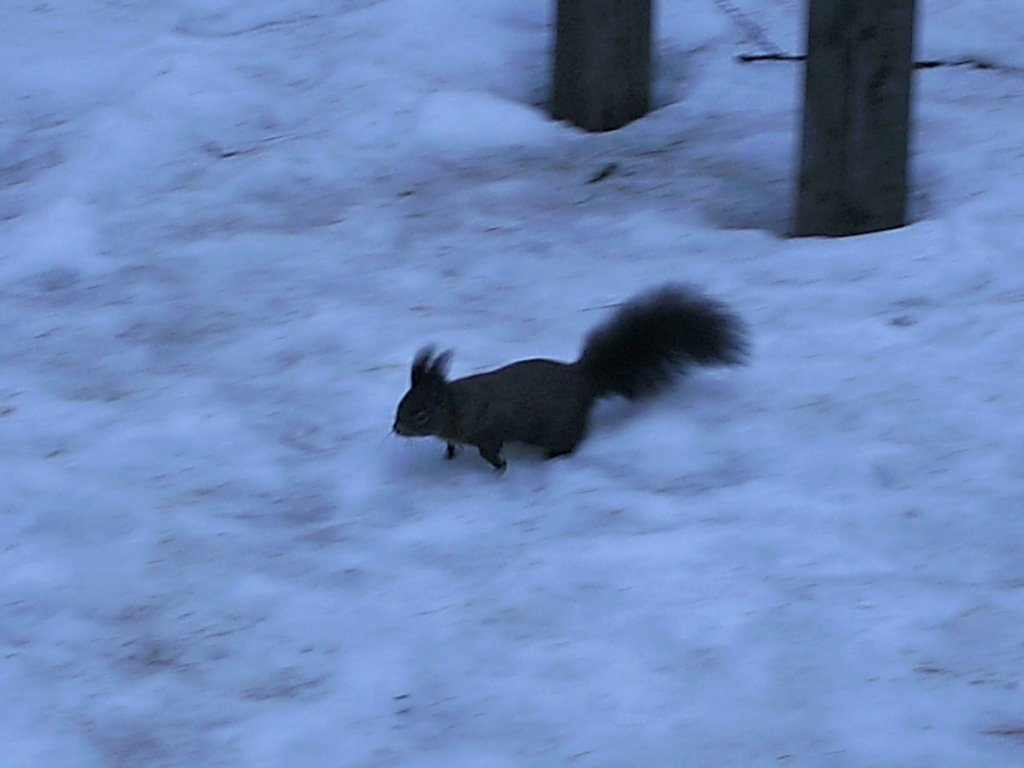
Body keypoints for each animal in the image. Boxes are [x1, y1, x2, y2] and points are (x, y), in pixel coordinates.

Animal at [391, 286, 745, 473]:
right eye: (401, 404)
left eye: (420, 415)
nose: (396, 429)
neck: (456, 405)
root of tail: (585, 380)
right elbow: (451, 444)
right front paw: (449, 455)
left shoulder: (489, 429)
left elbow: (489, 450)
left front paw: (500, 466)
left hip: (560, 427)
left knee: (570, 442)